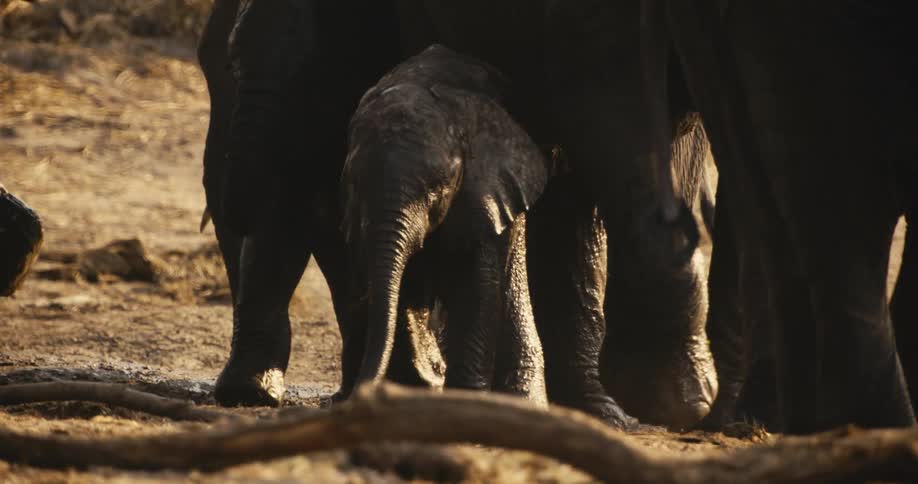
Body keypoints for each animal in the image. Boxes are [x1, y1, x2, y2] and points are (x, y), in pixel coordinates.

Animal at [340, 44, 550, 404]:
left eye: (436, 189)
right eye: (355, 183)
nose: (360, 394)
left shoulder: (482, 189)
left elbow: (474, 284)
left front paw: (465, 400)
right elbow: (404, 280)